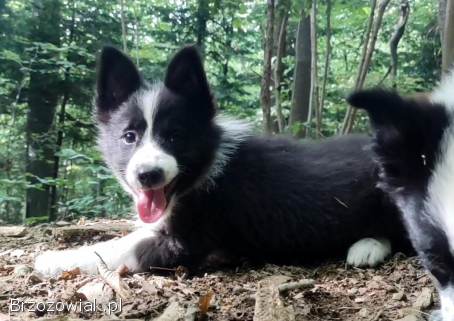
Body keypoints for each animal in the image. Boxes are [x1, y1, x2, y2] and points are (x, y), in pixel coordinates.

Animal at [34, 45, 408, 278]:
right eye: (129, 136)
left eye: (175, 136)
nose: (147, 175)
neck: (205, 171)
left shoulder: (187, 242)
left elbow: (120, 248)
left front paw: (52, 258)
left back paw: (367, 246)